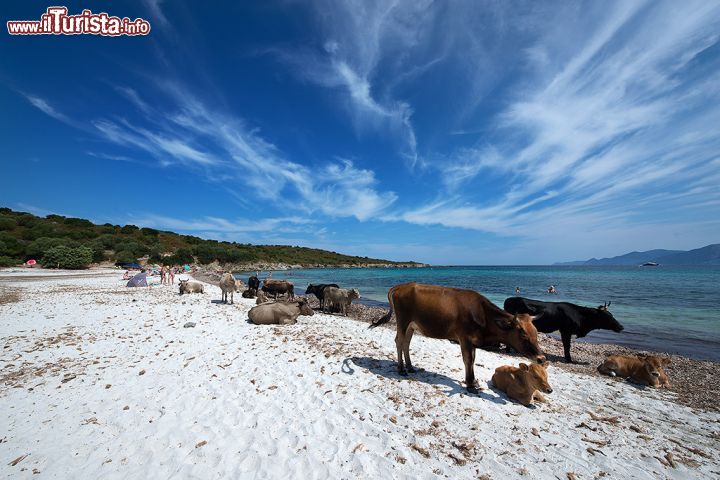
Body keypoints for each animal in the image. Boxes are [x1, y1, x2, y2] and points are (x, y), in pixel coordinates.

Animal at [372, 284, 544, 392]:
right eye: (522, 333)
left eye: (536, 333)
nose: (541, 358)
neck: (482, 314)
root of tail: (400, 286)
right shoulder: (464, 338)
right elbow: (468, 360)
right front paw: (470, 385)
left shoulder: (473, 341)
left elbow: (473, 360)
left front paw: (473, 381)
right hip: (403, 321)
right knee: (399, 342)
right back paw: (401, 369)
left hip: (411, 325)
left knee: (406, 343)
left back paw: (410, 366)